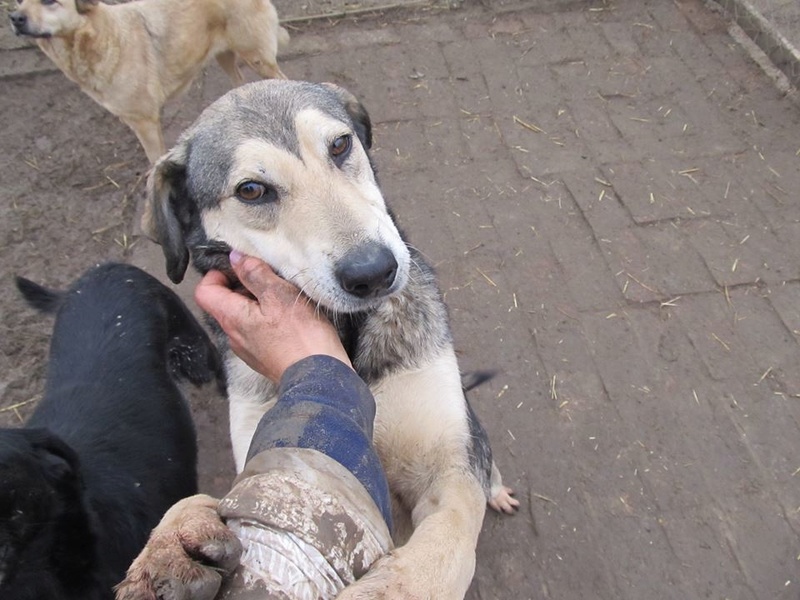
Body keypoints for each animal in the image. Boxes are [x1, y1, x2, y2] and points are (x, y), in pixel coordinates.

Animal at [7, 0, 290, 163]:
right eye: (20, 0)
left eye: (49, 1)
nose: (14, 17)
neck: (103, 35)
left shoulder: (145, 122)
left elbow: (154, 159)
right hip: (224, 55)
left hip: (256, 58)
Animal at [133, 81, 520, 600]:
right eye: (251, 190)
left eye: (339, 145)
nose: (374, 272)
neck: (348, 339)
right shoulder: (269, 450)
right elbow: (197, 499)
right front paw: (170, 548)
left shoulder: (445, 461)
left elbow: (444, 542)